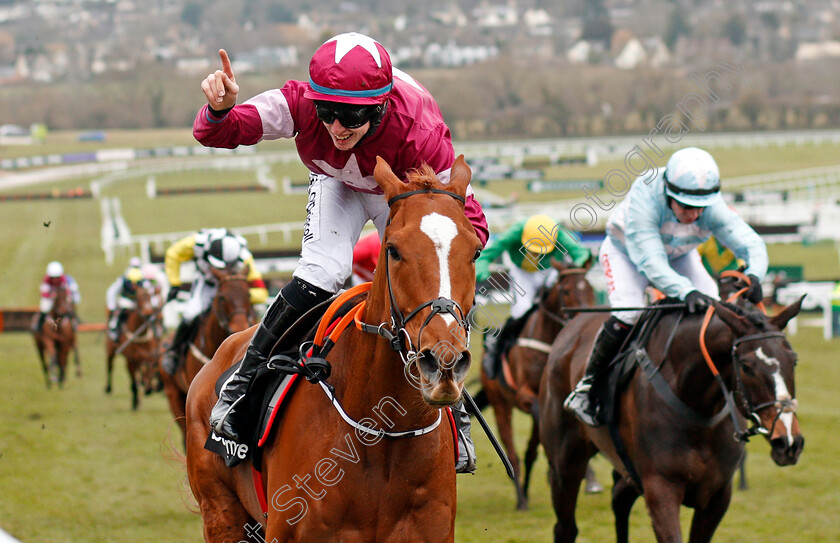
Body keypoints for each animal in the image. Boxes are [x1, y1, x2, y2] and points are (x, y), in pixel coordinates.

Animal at [104, 282, 161, 410]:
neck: (140, 334)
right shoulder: (131, 361)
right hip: (110, 350)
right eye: (138, 298)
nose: (148, 314)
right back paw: (108, 388)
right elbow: (134, 383)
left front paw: (148, 388)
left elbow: (149, 371)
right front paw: (135, 403)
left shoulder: (150, 357)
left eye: (150, 297)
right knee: (110, 367)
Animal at [480, 262, 596, 512]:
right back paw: (521, 499)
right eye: (566, 290)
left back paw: (526, 490)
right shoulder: (525, 394)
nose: (583, 318)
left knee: (530, 451)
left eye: (591, 288)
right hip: (500, 405)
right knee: (512, 453)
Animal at [540, 298, 804, 543]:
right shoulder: (661, 488)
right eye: (746, 366)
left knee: (619, 497)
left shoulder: (717, 495)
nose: (789, 442)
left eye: (793, 360)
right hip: (565, 462)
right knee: (565, 527)